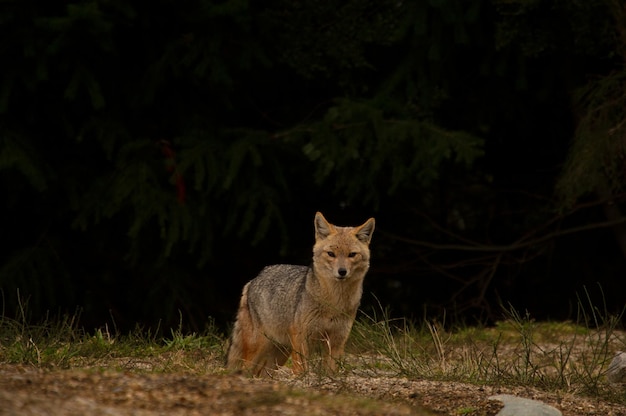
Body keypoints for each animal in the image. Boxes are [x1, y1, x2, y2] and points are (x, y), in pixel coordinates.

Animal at [227, 211, 372, 376]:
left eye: (352, 254)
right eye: (331, 254)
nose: (342, 271)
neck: (334, 303)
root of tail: (254, 279)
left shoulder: (337, 340)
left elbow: (331, 370)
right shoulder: (301, 336)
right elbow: (301, 368)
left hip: (279, 354)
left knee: (262, 373)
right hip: (259, 347)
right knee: (246, 369)